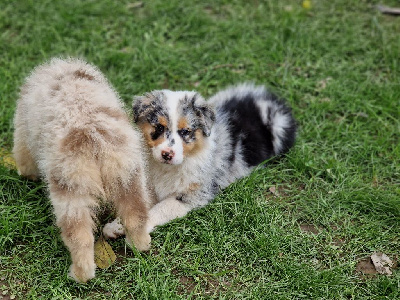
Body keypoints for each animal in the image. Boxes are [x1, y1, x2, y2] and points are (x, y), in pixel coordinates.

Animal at [12, 58, 152, 284]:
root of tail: (94, 136)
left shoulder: (23, 129)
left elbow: (23, 156)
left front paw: (27, 174)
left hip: (71, 189)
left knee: (80, 238)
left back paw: (80, 274)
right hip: (129, 174)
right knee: (136, 216)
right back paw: (139, 245)